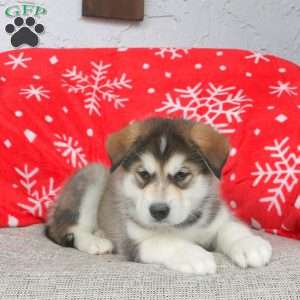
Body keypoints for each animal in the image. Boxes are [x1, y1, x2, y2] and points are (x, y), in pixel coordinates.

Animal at [46, 117, 272, 274]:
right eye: (144, 174)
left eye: (181, 174)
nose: (159, 211)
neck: (180, 226)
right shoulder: (134, 241)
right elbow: (166, 242)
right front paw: (194, 254)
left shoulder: (215, 218)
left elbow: (231, 227)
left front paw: (249, 244)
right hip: (95, 175)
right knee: (70, 227)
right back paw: (95, 242)